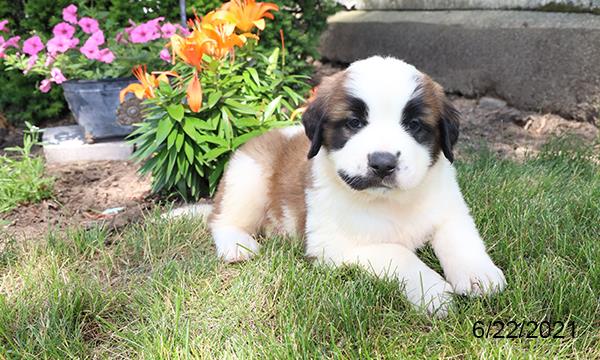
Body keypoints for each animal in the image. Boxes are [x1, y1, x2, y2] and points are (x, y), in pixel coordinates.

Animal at [206, 56, 506, 316]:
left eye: (414, 125)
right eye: (354, 123)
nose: (383, 163)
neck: (389, 201)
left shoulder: (449, 208)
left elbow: (461, 236)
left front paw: (478, 274)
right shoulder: (332, 246)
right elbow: (396, 252)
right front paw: (432, 291)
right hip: (247, 178)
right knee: (220, 219)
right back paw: (236, 245)